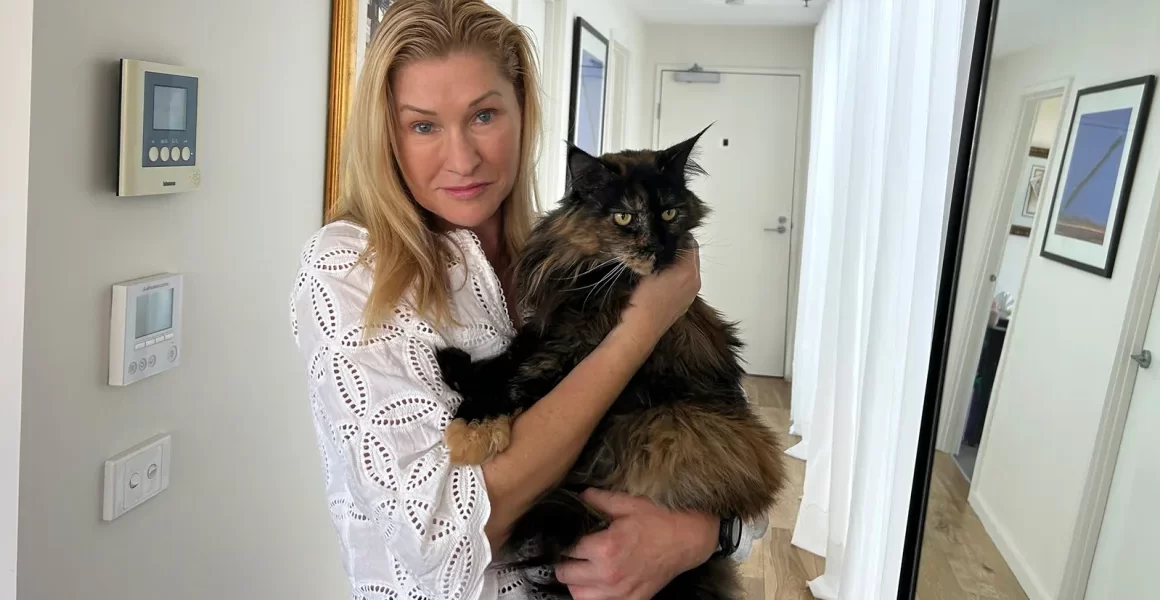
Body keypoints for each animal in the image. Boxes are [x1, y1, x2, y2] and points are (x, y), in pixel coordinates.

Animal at [436, 128, 788, 594]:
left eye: (670, 213)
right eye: (624, 217)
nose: (657, 248)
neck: (591, 273)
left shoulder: (575, 345)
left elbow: (521, 380)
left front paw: (474, 425)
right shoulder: (550, 325)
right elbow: (507, 359)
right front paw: (457, 372)